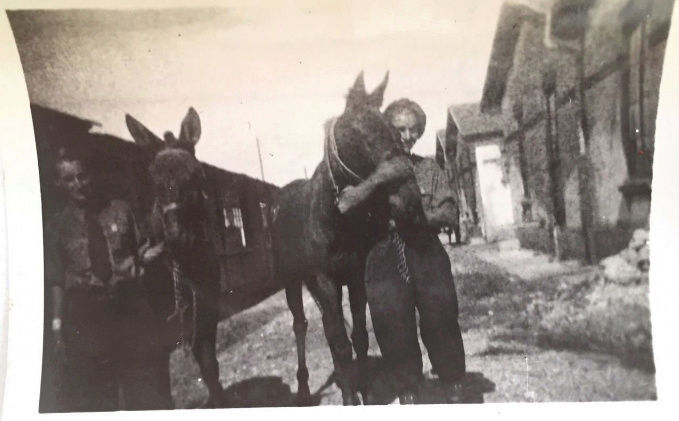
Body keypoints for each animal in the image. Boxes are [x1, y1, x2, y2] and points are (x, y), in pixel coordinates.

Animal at [125, 108, 226, 406]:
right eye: (152, 180)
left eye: (197, 174)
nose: (179, 238)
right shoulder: (156, 337)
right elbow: (161, 391)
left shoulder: (206, 315)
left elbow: (210, 367)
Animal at [272, 73, 424, 404]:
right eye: (358, 135)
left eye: (393, 133)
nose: (409, 202)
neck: (336, 217)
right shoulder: (326, 280)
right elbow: (341, 343)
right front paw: (350, 398)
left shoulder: (355, 277)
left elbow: (358, 337)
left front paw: (364, 391)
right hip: (292, 281)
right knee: (301, 326)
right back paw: (304, 390)